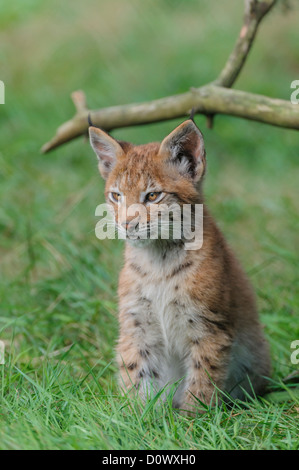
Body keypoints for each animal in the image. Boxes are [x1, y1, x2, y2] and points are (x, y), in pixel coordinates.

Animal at [89, 116, 272, 412]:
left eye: (153, 196)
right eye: (116, 196)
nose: (126, 224)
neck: (158, 259)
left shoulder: (208, 326)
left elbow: (202, 378)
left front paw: (192, 420)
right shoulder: (136, 324)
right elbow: (135, 370)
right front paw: (135, 416)